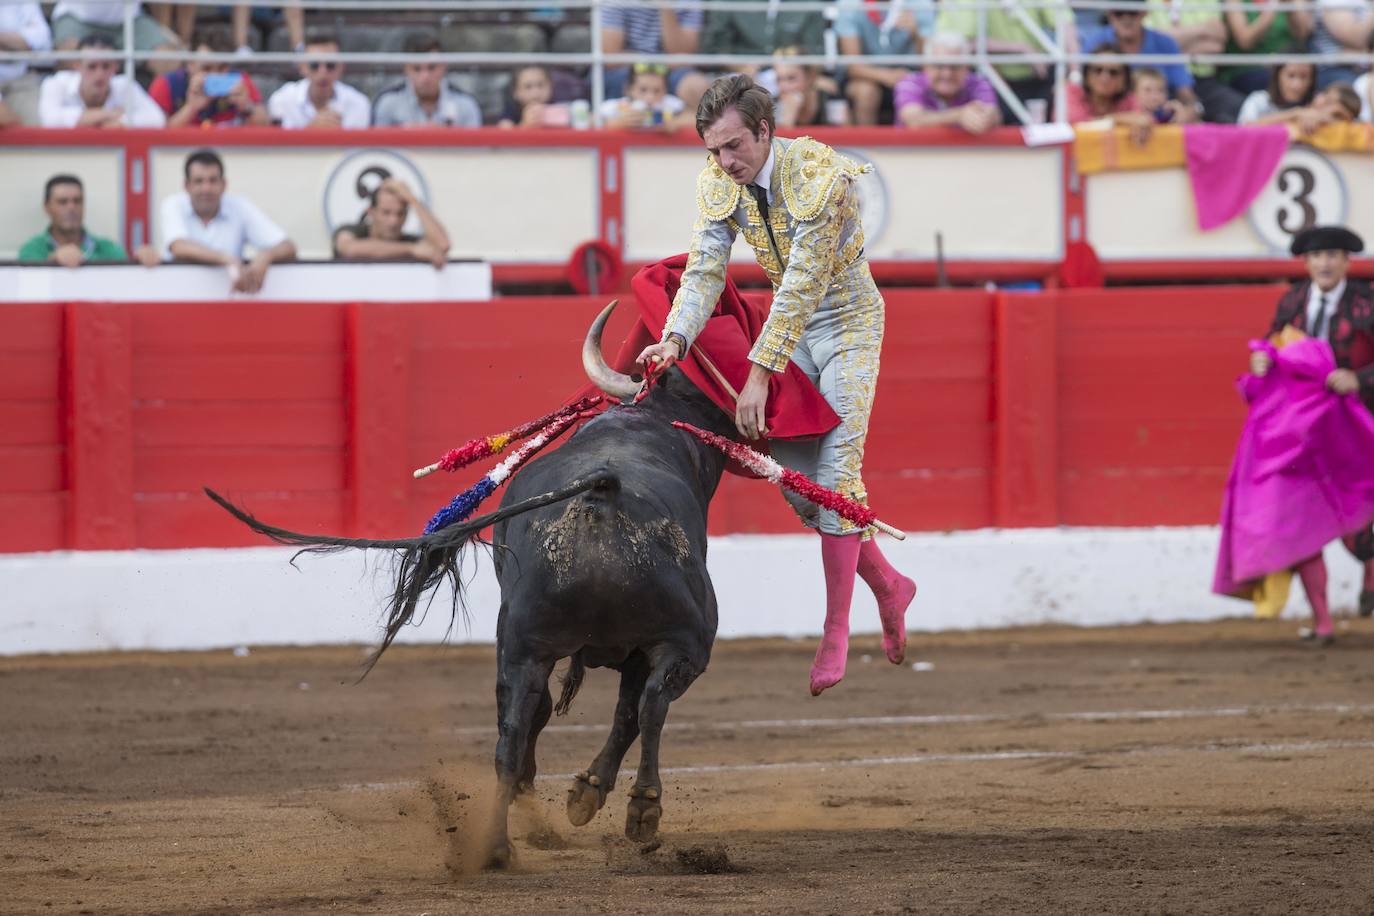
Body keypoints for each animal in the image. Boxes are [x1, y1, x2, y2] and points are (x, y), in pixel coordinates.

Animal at [207, 304, 741, 873]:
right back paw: (633, 807)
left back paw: (499, 845)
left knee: (518, 730)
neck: (648, 420)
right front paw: (584, 794)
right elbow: (621, 712)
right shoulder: (633, 649)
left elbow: (576, 715)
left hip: (531, 644)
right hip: (676, 641)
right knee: (643, 705)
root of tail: (604, 491)